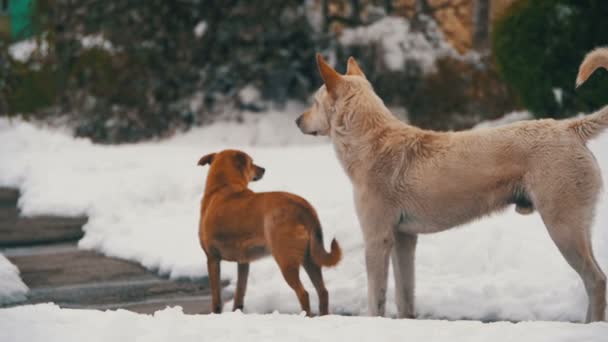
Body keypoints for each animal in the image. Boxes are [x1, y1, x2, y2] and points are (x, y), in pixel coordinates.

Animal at [198, 150, 342, 316]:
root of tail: (302, 204)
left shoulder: (212, 258)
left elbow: (216, 297)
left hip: (286, 260)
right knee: (323, 291)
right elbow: (240, 293)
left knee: (303, 293)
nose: (263, 169)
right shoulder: (243, 262)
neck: (223, 187)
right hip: (310, 259)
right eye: (252, 163)